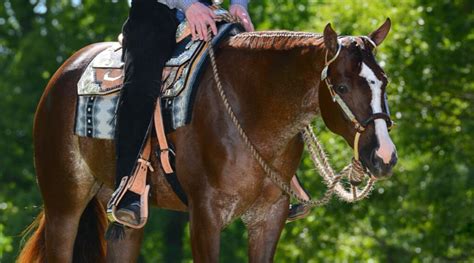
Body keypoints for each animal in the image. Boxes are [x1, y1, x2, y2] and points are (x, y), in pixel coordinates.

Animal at [17, 19, 396, 262]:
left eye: (385, 81)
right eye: (342, 87)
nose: (384, 156)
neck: (251, 109)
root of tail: (63, 73)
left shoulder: (268, 217)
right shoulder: (205, 217)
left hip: (126, 218)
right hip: (64, 204)